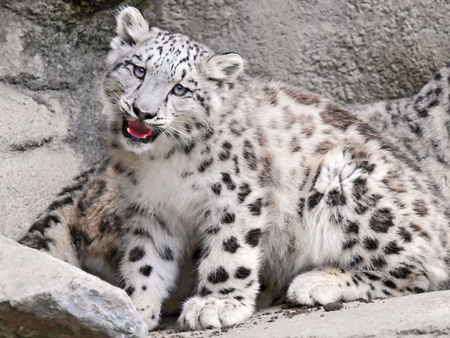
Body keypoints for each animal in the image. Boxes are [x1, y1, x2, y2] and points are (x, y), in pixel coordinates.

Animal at [19, 6, 450, 332]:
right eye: (138, 69)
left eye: (181, 88)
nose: (144, 111)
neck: (162, 163)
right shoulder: (149, 210)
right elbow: (146, 260)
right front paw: (136, 309)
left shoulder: (235, 195)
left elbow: (229, 251)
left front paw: (216, 305)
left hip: (346, 181)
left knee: (422, 268)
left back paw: (316, 282)